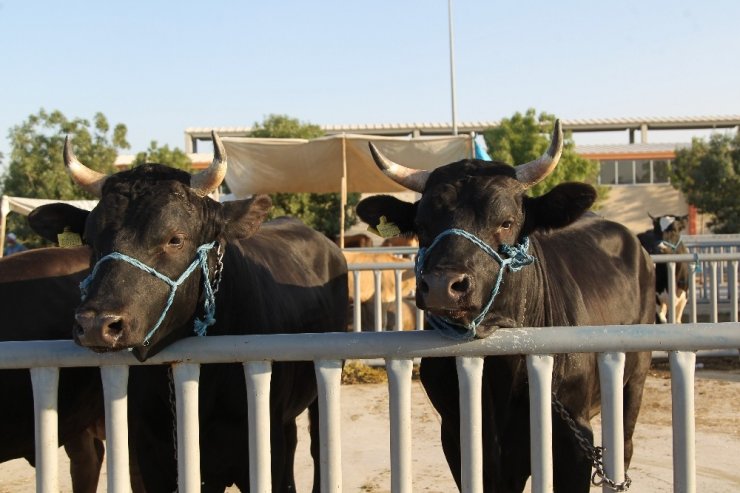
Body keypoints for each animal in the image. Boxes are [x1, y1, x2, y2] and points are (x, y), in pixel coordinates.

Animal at [30, 132, 348, 492]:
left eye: (175, 239)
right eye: (90, 239)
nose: (97, 323)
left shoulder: (262, 448)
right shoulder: (152, 454)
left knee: (317, 444)